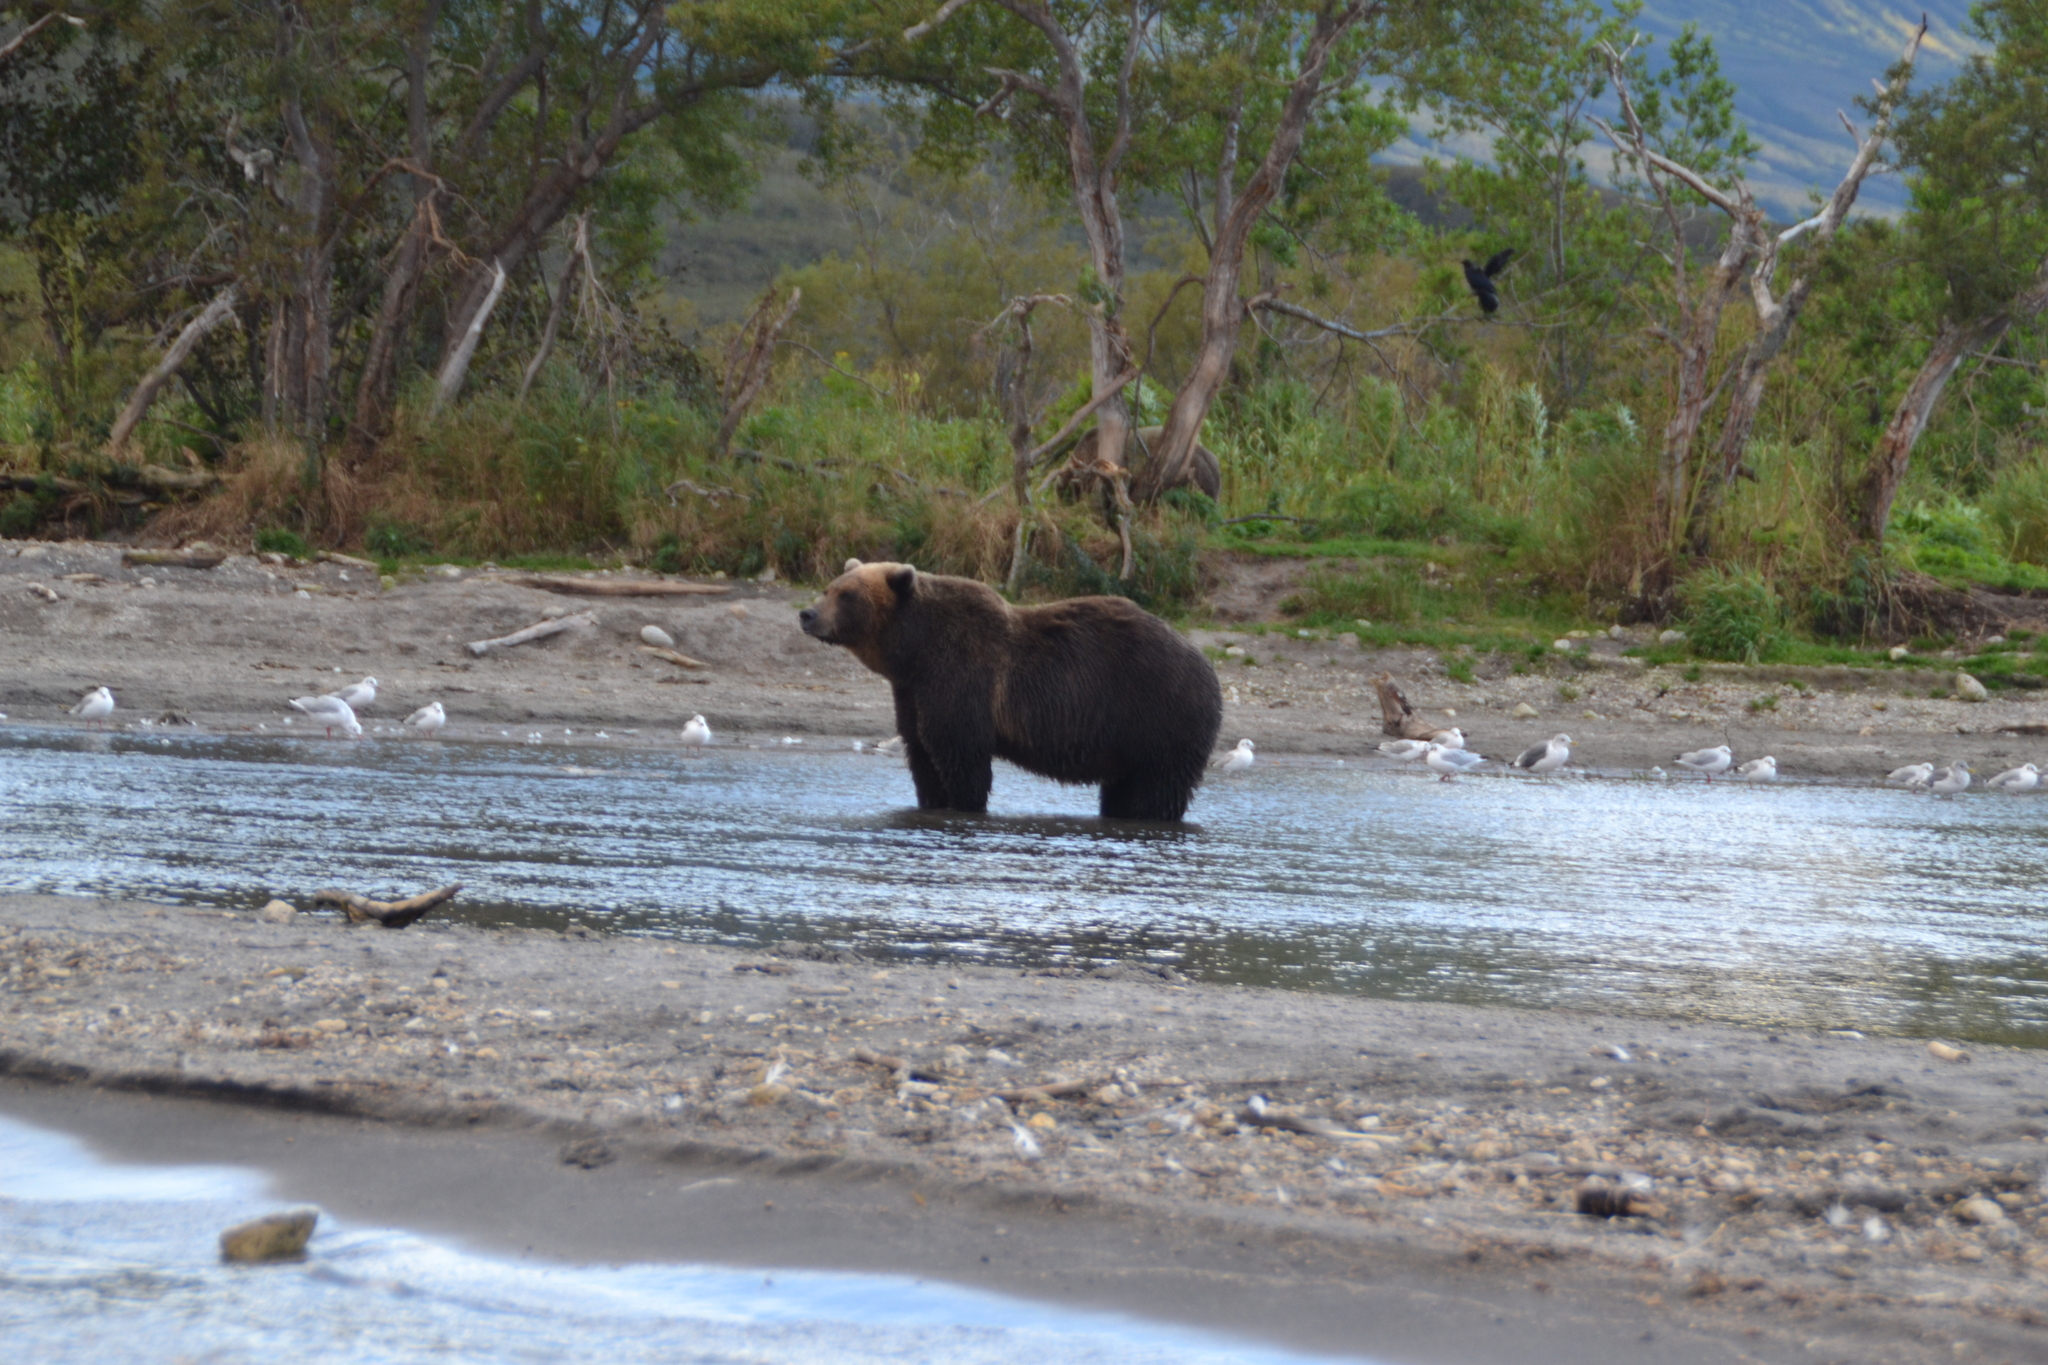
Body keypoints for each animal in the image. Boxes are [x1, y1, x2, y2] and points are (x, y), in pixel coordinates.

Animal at [794, 556, 1212, 822]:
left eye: (847, 595)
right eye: (829, 588)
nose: (807, 614)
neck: (915, 652)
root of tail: (1203, 661)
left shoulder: (961, 678)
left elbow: (961, 757)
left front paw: (964, 804)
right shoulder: (912, 693)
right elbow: (922, 754)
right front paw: (930, 802)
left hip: (1158, 713)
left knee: (1158, 789)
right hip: (1127, 741)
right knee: (1123, 789)